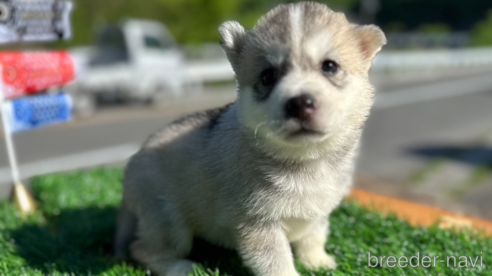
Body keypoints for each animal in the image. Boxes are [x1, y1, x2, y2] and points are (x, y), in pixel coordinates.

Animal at [115, 2, 384, 276]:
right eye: (267, 76)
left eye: (329, 67)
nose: (299, 103)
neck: (305, 160)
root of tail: (135, 160)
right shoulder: (258, 222)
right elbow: (277, 262)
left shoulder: (319, 213)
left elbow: (314, 237)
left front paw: (317, 261)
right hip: (169, 222)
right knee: (143, 248)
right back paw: (182, 267)